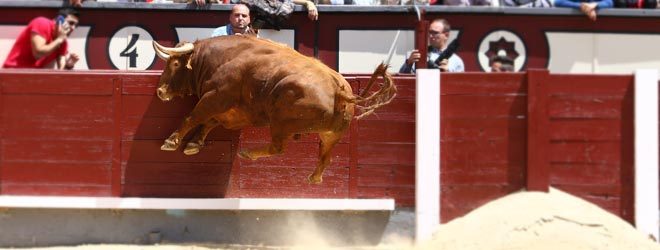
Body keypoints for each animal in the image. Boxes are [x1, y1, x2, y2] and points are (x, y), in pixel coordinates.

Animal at [152, 35, 394, 184]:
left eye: (174, 64)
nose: (160, 92)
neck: (222, 58)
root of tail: (339, 89)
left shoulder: (216, 97)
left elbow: (193, 117)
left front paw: (171, 142)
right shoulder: (235, 112)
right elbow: (208, 121)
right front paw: (194, 144)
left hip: (280, 122)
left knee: (278, 148)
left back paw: (247, 153)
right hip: (331, 134)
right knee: (325, 157)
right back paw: (314, 178)